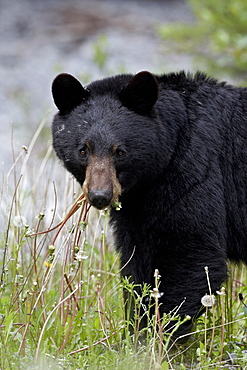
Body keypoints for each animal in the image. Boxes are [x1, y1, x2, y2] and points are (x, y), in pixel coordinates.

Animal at [50, 71, 247, 340]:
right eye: (83, 150)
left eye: (120, 151)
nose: (100, 195)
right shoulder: (139, 207)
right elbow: (137, 264)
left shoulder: (193, 173)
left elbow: (190, 255)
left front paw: (158, 338)